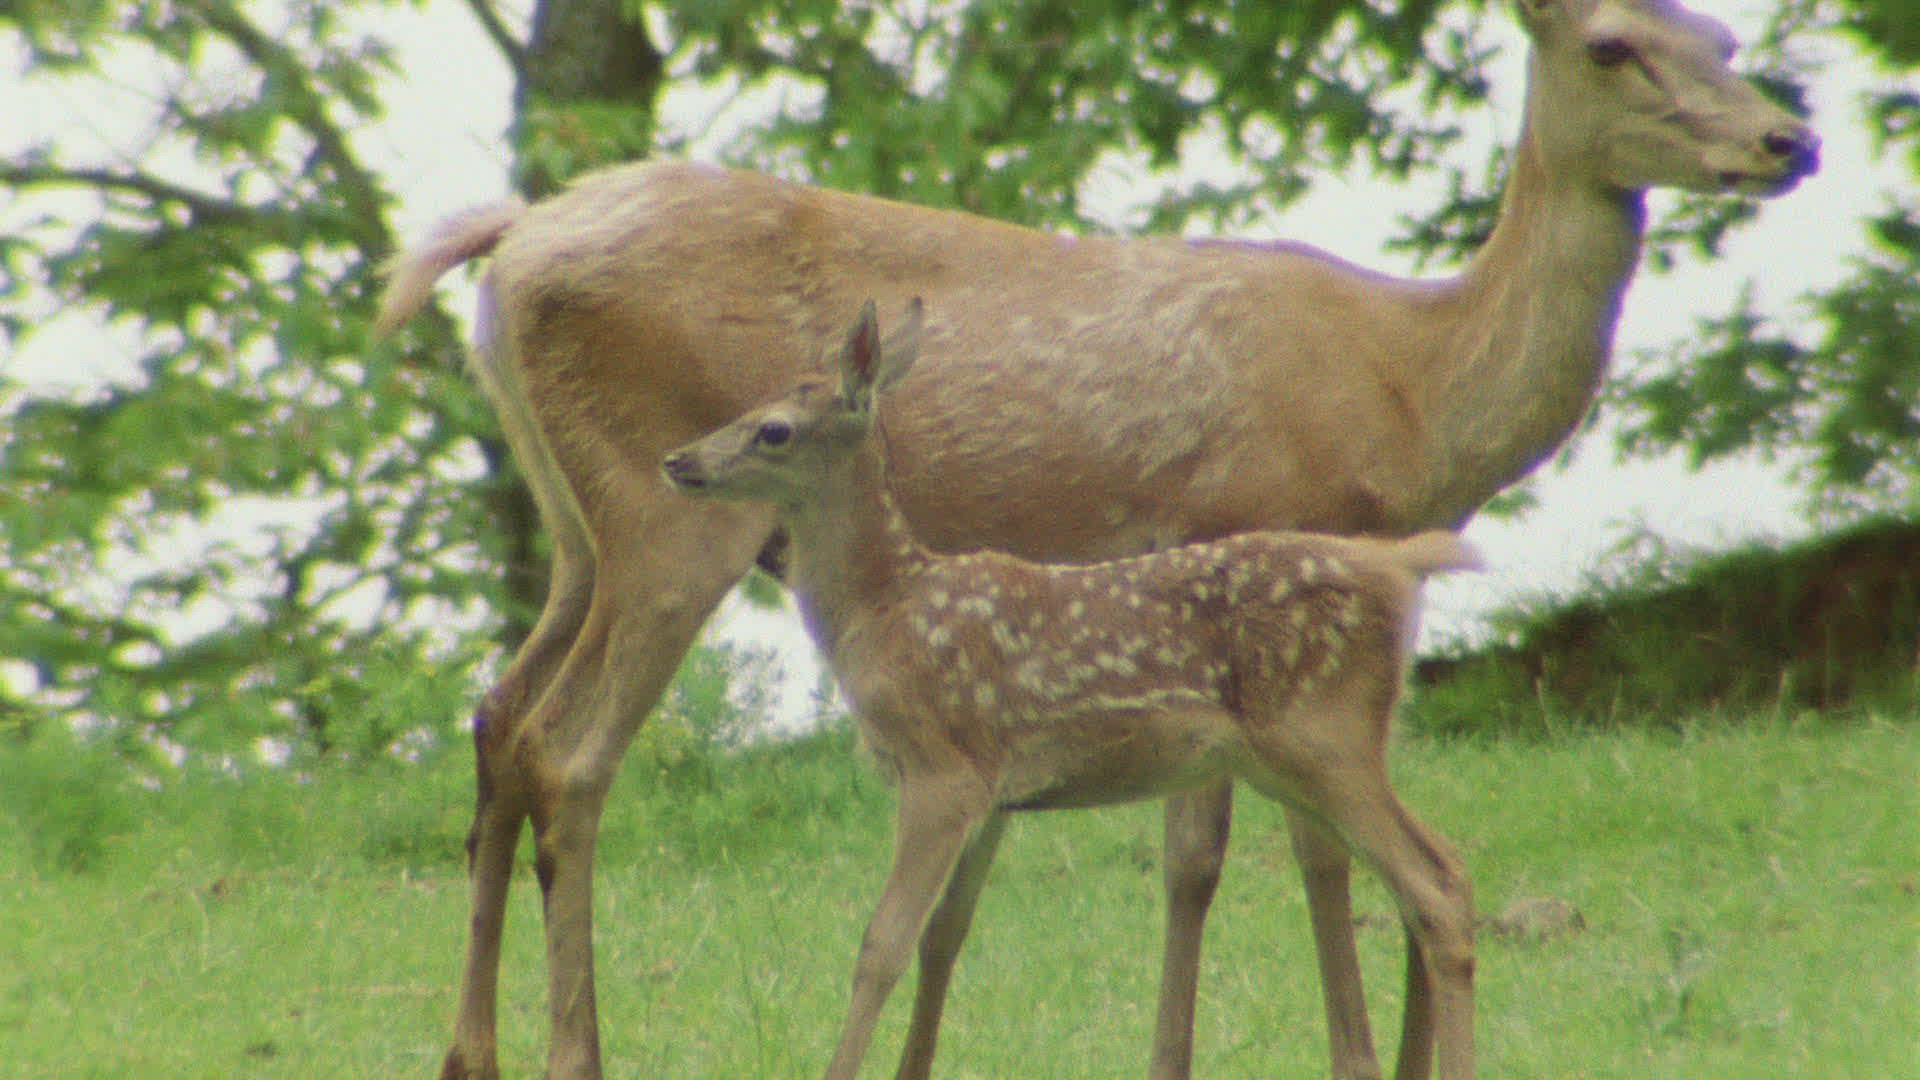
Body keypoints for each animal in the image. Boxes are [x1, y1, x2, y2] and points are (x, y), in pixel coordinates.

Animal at [660, 299, 1485, 1079]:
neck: (884, 609)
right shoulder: (993, 791)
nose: (678, 460)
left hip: (1324, 734)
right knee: (1434, 871)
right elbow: (943, 935)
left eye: (773, 429)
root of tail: (1398, 564)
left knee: (1435, 887)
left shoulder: (944, 767)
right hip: (1302, 754)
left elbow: (882, 945)